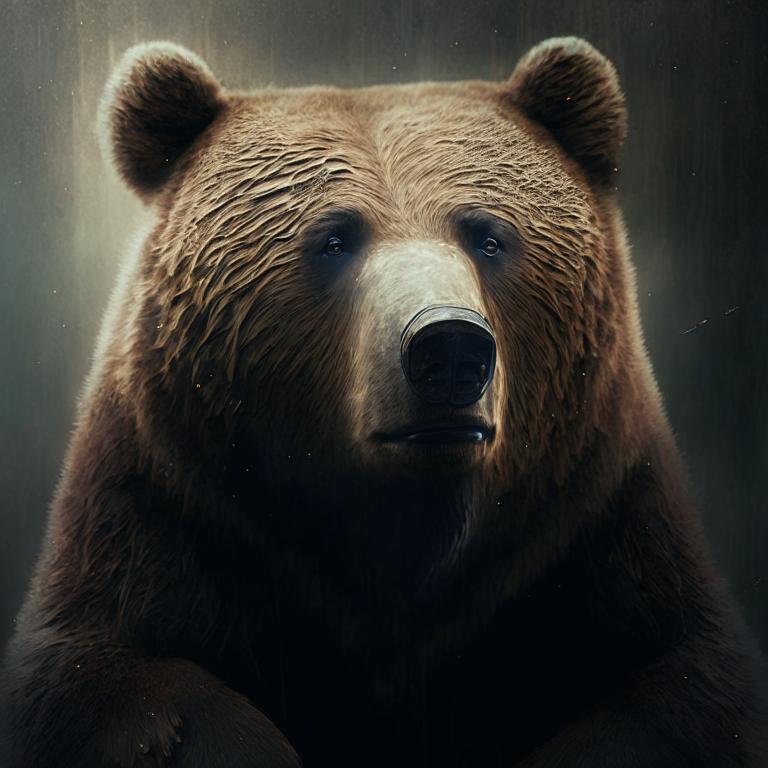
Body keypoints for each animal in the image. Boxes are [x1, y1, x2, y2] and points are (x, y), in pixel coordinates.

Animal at [1, 35, 766, 768]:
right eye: (335, 239)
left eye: (488, 236)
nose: (448, 347)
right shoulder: (169, 514)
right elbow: (109, 683)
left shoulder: (595, 526)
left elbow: (678, 692)